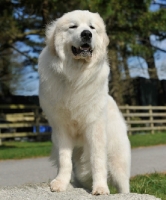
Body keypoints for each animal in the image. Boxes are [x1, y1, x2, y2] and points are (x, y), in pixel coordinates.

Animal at [38, 10, 130, 195]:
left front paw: (100, 188)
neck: (75, 75)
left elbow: (97, 160)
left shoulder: (95, 128)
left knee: (123, 184)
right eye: (73, 26)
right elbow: (64, 160)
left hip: (118, 162)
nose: (86, 34)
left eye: (92, 27)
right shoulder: (61, 128)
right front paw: (61, 183)